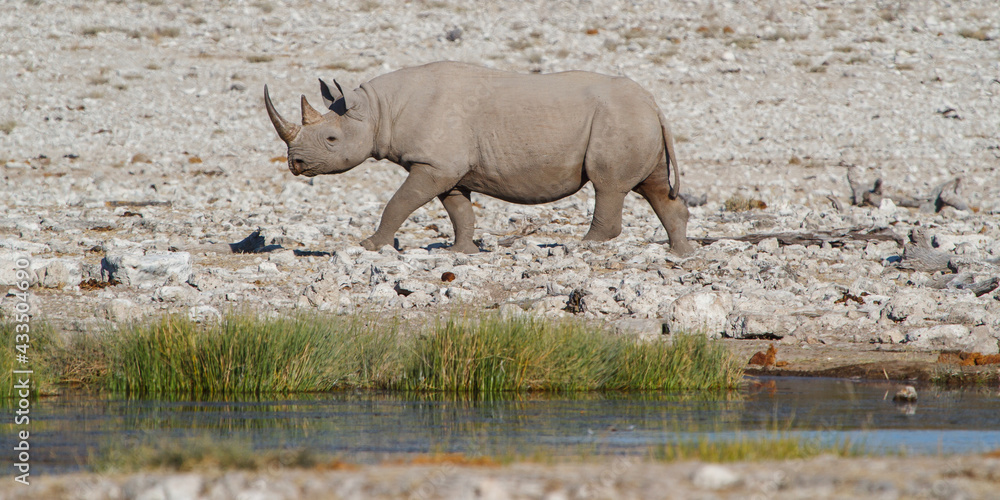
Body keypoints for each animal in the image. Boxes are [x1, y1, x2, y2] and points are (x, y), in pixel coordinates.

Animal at [265, 61, 693, 255]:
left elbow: (398, 203)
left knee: (609, 185)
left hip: (618, 119)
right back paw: (679, 252)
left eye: (331, 139)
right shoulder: (447, 169)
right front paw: (462, 252)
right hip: (635, 119)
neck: (378, 109)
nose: (295, 164)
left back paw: (582, 246)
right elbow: (459, 211)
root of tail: (654, 103)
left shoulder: (433, 165)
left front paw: (372, 245)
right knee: (654, 186)